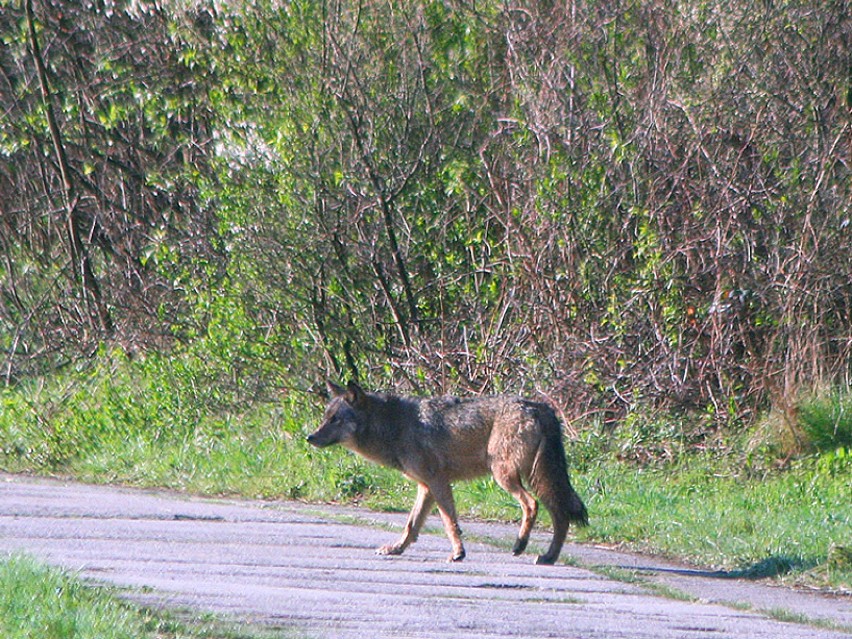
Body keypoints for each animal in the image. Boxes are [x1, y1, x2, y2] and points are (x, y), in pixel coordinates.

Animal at [306, 380, 584, 564]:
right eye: (325, 417)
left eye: (335, 419)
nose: (309, 437)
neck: (396, 426)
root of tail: (540, 407)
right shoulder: (425, 486)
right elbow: (412, 525)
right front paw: (396, 549)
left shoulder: (437, 481)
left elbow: (450, 522)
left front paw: (458, 553)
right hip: (537, 479)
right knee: (561, 515)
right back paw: (548, 557)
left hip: (506, 477)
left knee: (531, 505)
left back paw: (520, 545)